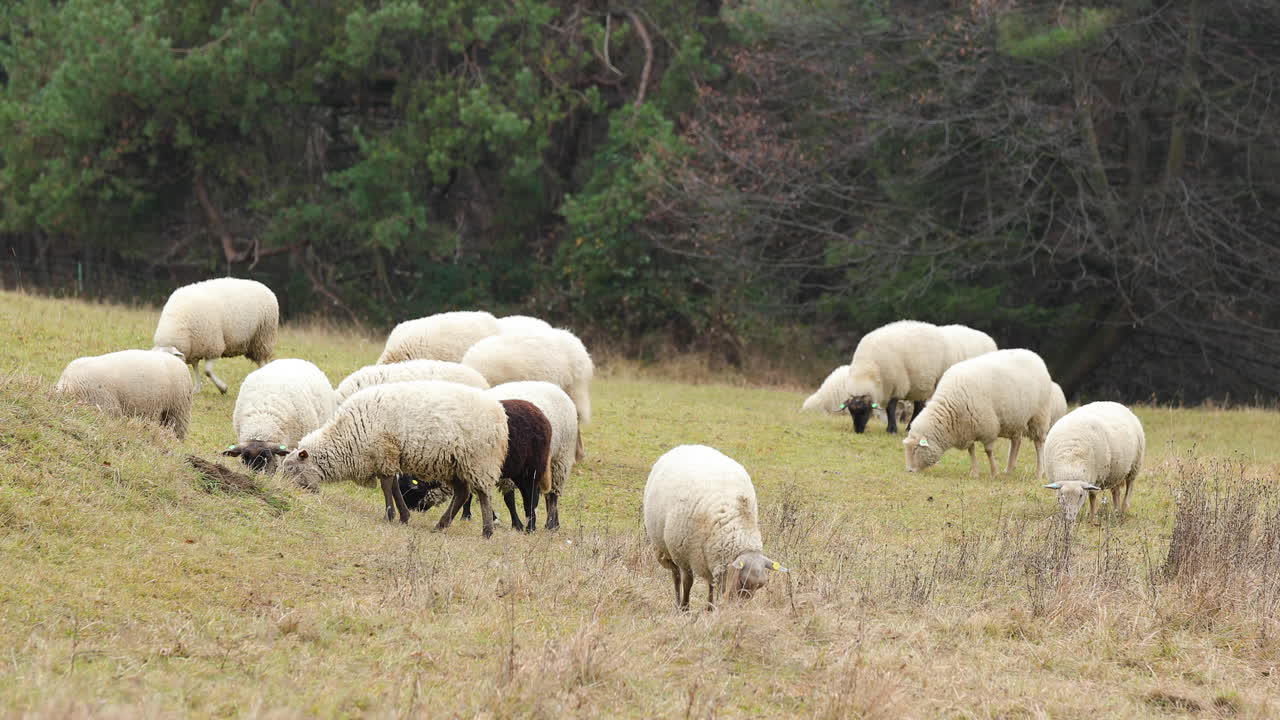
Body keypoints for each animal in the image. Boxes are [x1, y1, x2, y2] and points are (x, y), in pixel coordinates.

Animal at [279, 380, 508, 538]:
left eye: (291, 468)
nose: (286, 489)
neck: (346, 436)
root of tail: (499, 414)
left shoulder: (384, 451)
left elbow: (387, 486)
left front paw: (389, 516)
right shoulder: (387, 457)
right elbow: (394, 486)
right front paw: (403, 517)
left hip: (479, 461)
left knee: (483, 495)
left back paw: (487, 531)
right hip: (455, 464)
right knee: (462, 493)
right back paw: (441, 525)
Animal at [643, 445, 787, 611]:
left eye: (759, 587)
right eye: (741, 582)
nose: (738, 611)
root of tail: (688, 446)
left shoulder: (713, 555)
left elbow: (711, 584)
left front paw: (710, 608)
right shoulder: (683, 555)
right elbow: (687, 582)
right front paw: (685, 608)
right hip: (666, 548)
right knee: (676, 576)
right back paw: (678, 603)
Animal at [902, 348, 1055, 479]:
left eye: (915, 449)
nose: (909, 471)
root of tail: (1033, 355)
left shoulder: (988, 426)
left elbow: (988, 451)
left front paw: (994, 472)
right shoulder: (968, 428)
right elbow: (971, 450)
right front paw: (975, 473)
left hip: (1039, 415)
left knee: (1039, 444)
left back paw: (1039, 473)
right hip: (1016, 418)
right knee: (1016, 441)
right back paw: (1009, 469)